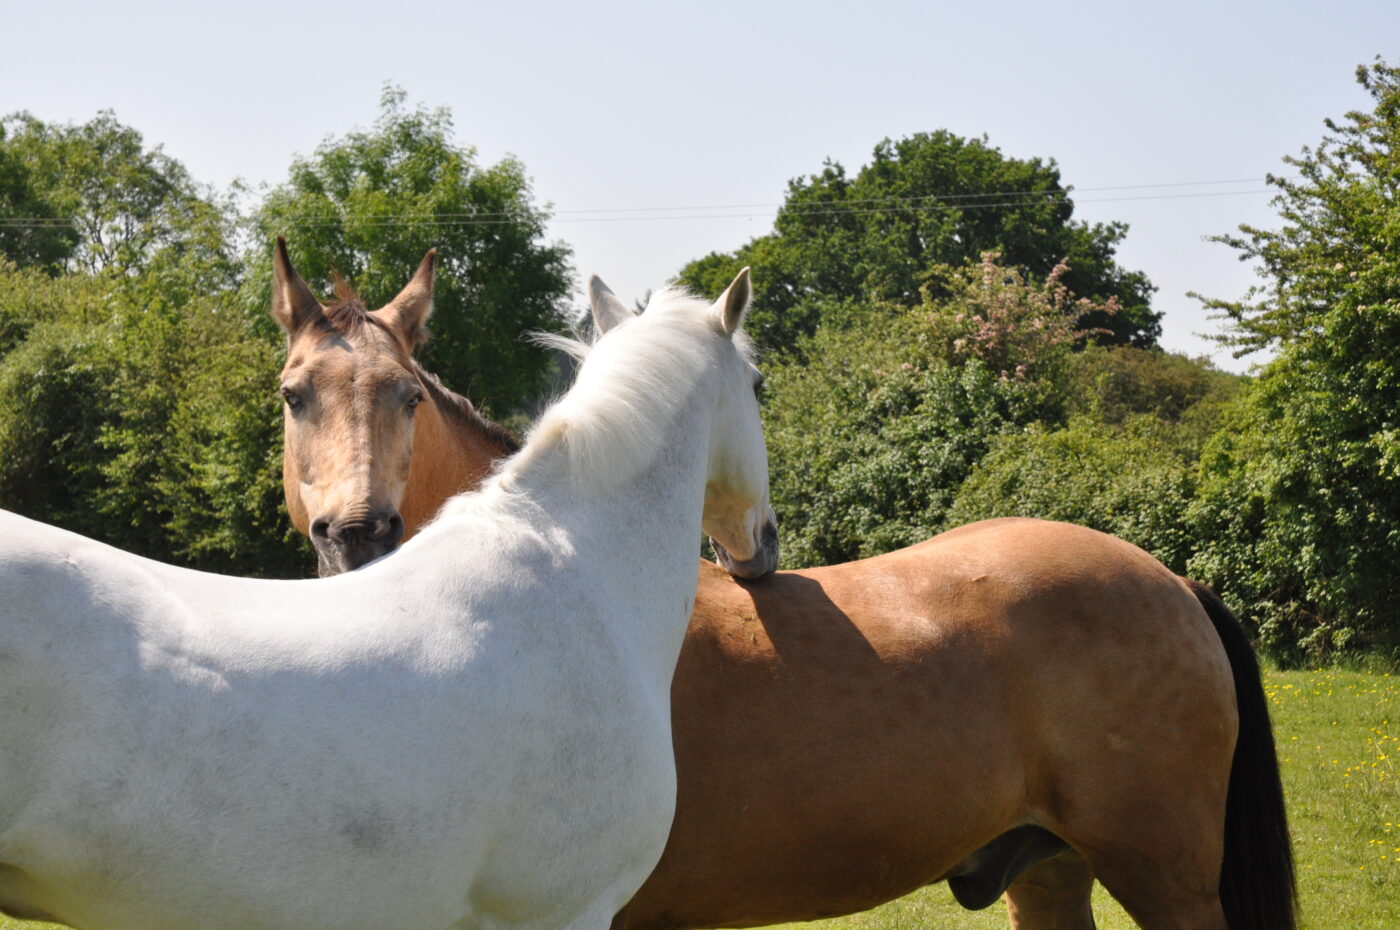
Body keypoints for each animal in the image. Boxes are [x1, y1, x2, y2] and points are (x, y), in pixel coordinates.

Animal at [280, 264, 1295, 930]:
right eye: (294, 395)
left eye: (409, 394)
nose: (354, 534)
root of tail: (1170, 580)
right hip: (1051, 874)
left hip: (1163, 876)